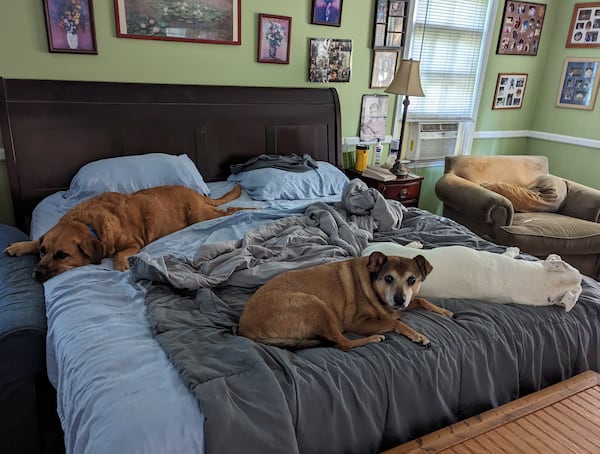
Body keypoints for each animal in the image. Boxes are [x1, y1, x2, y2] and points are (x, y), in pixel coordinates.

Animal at [3, 184, 245, 280]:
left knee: (230, 210)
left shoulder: (132, 244)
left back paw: (247, 210)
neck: (88, 224)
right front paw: (21, 246)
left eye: (62, 255)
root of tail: (195, 193)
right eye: (43, 252)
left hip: (200, 215)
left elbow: (120, 254)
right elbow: (36, 239)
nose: (36, 274)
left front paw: (121, 265)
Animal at [237, 252, 452, 352]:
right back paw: (374, 338)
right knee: (343, 343)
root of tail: (244, 329)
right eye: (388, 278)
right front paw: (417, 335)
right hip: (317, 304)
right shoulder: (358, 323)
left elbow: (421, 300)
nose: (399, 299)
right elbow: (395, 322)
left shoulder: (406, 302)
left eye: (412, 280)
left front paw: (444, 311)